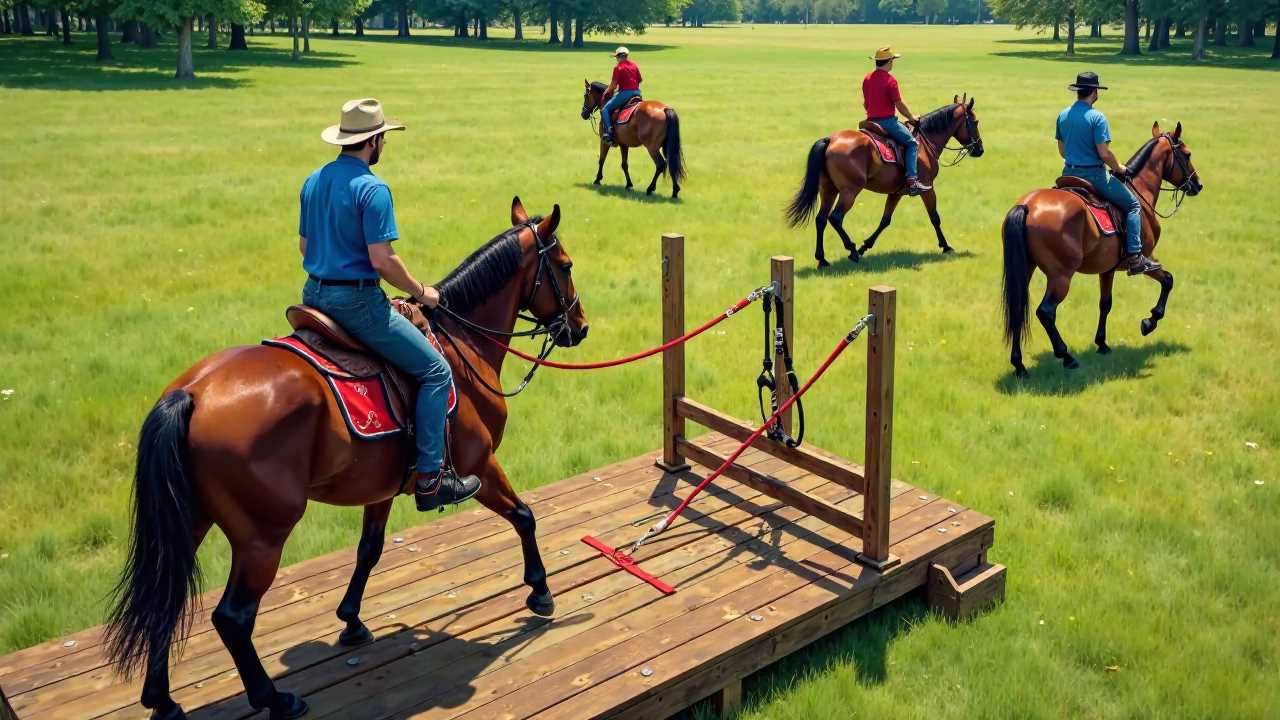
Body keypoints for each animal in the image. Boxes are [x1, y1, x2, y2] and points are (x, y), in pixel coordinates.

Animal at [104, 197, 588, 717]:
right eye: (565, 265)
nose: (580, 327)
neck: (461, 343)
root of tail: (191, 393)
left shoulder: (386, 486)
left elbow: (368, 550)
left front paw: (352, 620)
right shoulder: (479, 465)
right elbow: (524, 515)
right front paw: (540, 590)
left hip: (191, 518)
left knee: (166, 597)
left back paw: (162, 699)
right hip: (262, 536)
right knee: (233, 617)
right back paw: (274, 698)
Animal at [783, 94, 983, 265]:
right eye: (975, 121)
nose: (979, 149)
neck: (924, 144)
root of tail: (830, 140)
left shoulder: (896, 192)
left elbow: (885, 220)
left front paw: (865, 246)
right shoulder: (927, 188)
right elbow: (934, 217)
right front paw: (946, 246)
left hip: (828, 189)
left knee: (821, 219)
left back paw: (822, 259)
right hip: (849, 192)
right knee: (836, 218)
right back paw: (851, 250)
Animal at [1003, 121, 1203, 376]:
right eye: (1187, 154)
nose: (1198, 185)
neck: (1139, 192)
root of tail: (1027, 206)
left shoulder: (1107, 269)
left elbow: (1105, 304)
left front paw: (1102, 343)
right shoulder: (1146, 258)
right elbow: (1168, 280)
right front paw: (1149, 322)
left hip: (1026, 268)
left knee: (1018, 308)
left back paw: (1019, 365)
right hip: (1061, 276)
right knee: (1045, 312)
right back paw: (1066, 356)